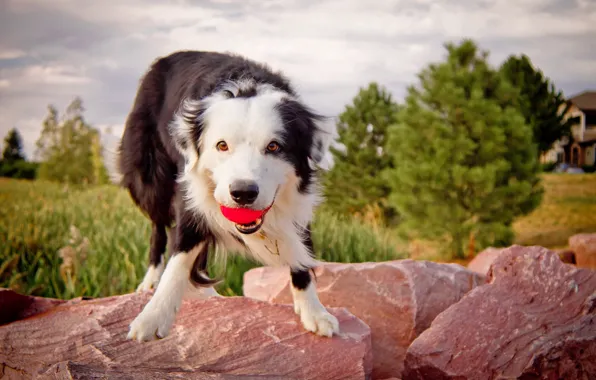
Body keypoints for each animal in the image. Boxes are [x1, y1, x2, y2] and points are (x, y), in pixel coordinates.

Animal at [117, 51, 340, 342]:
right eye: (222, 145)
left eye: (274, 146)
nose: (243, 193)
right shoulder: (189, 194)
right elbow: (180, 256)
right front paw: (153, 316)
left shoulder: (297, 202)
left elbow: (302, 252)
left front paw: (314, 311)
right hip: (151, 177)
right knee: (159, 228)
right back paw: (152, 279)